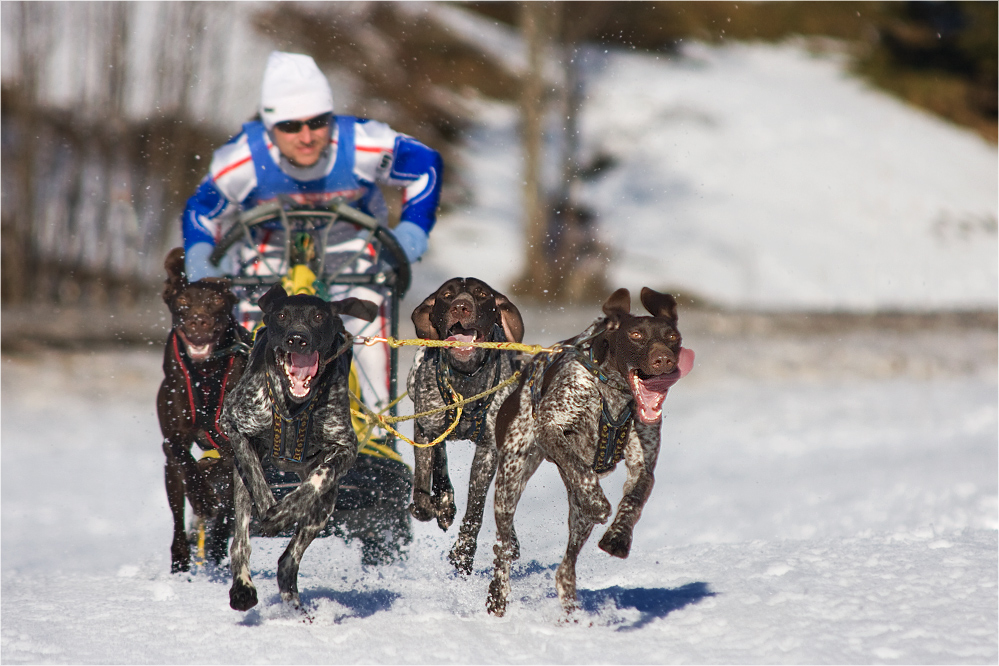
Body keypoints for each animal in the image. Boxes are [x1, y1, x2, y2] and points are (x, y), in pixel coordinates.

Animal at [157, 248, 252, 572]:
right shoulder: (173, 438)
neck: (207, 374)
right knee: (178, 512)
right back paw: (181, 557)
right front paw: (202, 497)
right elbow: (183, 458)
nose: (198, 321)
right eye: (183, 303)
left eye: (215, 303)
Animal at [221, 282, 376, 608]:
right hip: (239, 487)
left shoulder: (345, 448)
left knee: (288, 559)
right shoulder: (233, 424)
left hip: (324, 508)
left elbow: (319, 478)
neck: (292, 406)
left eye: (318, 316)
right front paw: (271, 508)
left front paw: (284, 512)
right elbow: (257, 477)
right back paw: (243, 586)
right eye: (282, 315)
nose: (297, 338)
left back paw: (293, 604)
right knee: (240, 540)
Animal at [408, 274, 528, 572]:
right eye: (447, 295)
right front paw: (438, 505)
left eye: (482, 294)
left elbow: (476, 506)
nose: (461, 307)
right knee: (440, 463)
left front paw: (463, 553)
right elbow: (421, 494)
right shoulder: (425, 432)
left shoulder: (488, 451)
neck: (466, 381)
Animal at [486, 288, 692, 616]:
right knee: (504, 545)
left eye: (672, 336)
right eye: (635, 334)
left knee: (565, 567)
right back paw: (498, 595)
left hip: (575, 514)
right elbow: (579, 468)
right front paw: (598, 501)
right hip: (510, 479)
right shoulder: (550, 428)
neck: (614, 394)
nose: (664, 359)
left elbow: (633, 502)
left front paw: (618, 536)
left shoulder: (642, 465)